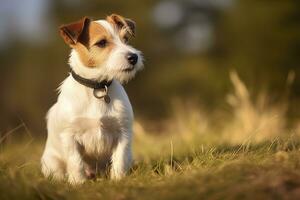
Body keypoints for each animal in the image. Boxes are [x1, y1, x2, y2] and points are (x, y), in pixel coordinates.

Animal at [41, 13, 144, 184]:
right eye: (102, 43)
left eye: (126, 39)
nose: (133, 57)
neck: (97, 87)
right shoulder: (70, 137)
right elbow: (76, 162)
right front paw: (78, 183)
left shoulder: (123, 133)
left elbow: (120, 159)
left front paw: (118, 180)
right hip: (51, 162)